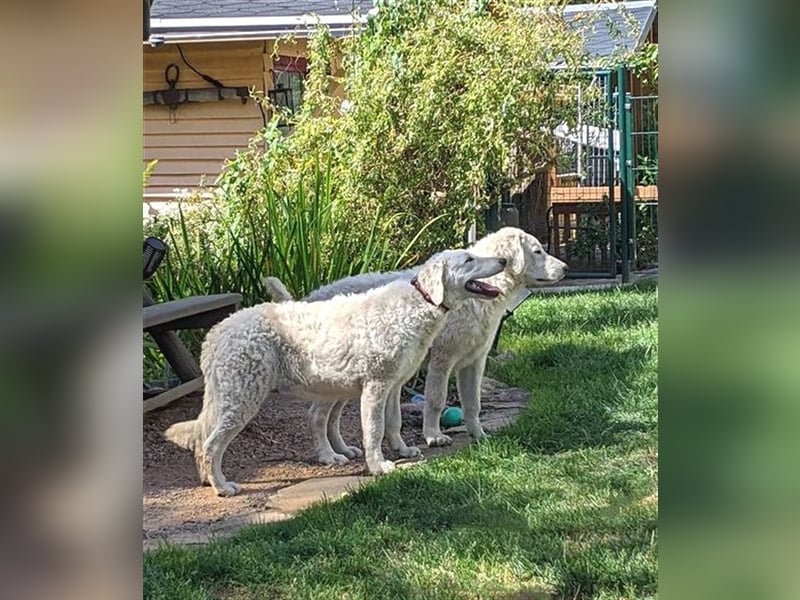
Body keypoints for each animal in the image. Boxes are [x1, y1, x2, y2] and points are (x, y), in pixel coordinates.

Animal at [166, 250, 510, 496]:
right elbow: (374, 430)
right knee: (211, 444)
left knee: (204, 439)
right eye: (469, 259)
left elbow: (394, 422)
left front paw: (402, 450)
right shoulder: (375, 386)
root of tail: (217, 332)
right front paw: (379, 466)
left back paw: (208, 480)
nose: (504, 261)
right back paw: (222, 486)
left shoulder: (393, 385)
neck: (417, 304)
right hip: (242, 398)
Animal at [264, 226, 568, 464]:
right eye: (538, 251)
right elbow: (436, 400)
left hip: (344, 383)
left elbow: (473, 403)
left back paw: (343, 449)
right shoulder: (442, 359)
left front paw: (479, 435)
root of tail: (305, 300)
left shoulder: (474, 361)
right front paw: (434, 436)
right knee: (318, 416)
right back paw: (330, 456)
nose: (565, 268)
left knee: (333, 417)